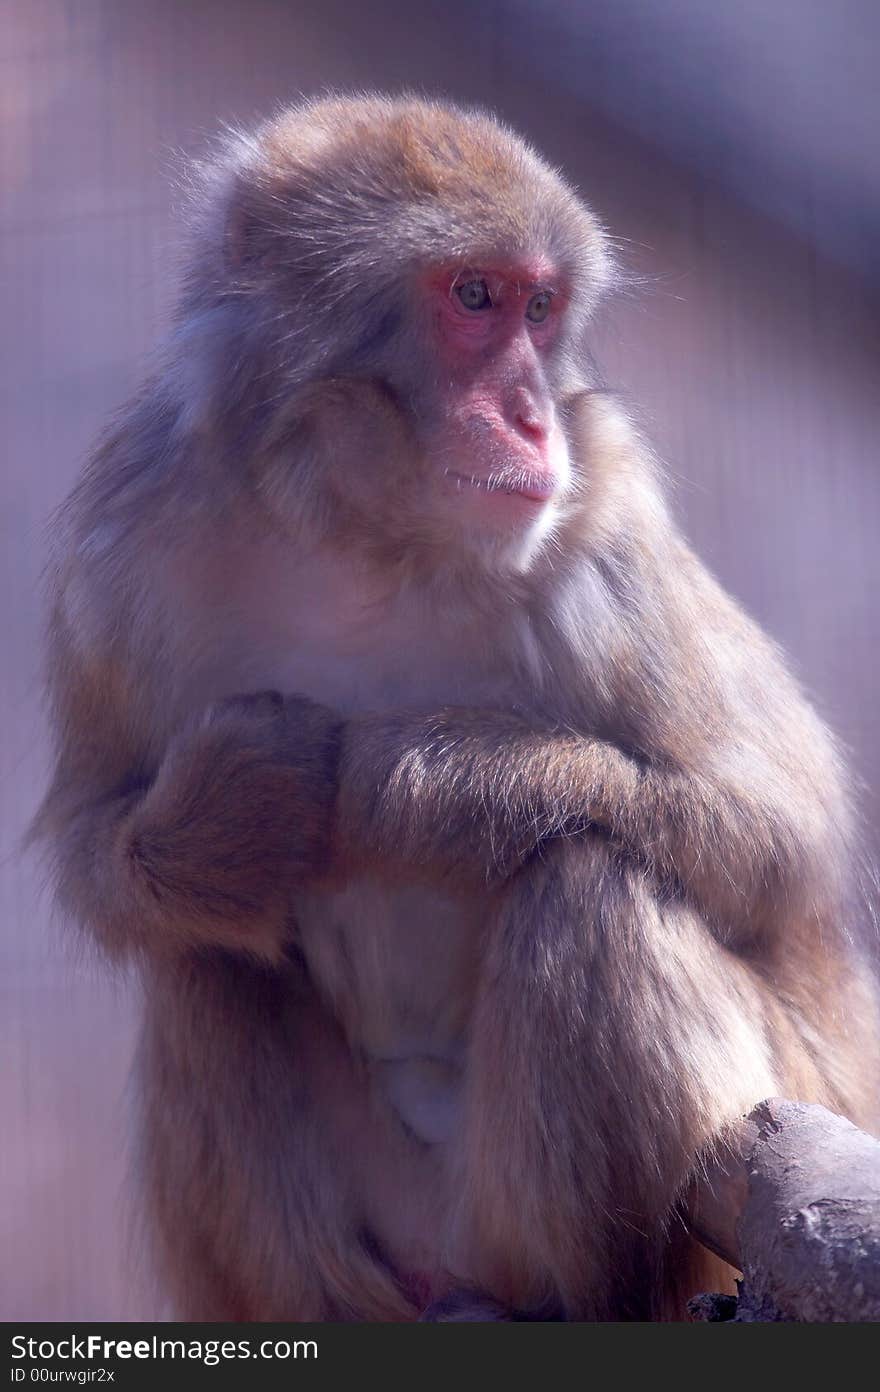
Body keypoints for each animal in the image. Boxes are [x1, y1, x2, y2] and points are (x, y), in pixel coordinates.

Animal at [36, 95, 880, 1314]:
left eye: (541, 307)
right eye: (473, 298)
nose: (532, 417)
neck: (364, 539)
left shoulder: (605, 517)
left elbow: (778, 836)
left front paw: (414, 785)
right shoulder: (125, 533)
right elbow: (93, 839)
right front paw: (233, 809)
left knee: (589, 880)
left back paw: (596, 1288)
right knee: (204, 958)